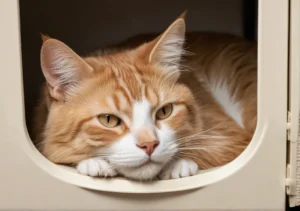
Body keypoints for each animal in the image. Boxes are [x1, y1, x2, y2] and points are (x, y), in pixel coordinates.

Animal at [34, 12, 256, 181]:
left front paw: (178, 164)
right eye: (108, 120)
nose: (149, 145)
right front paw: (93, 162)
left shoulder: (232, 137)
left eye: (165, 112)